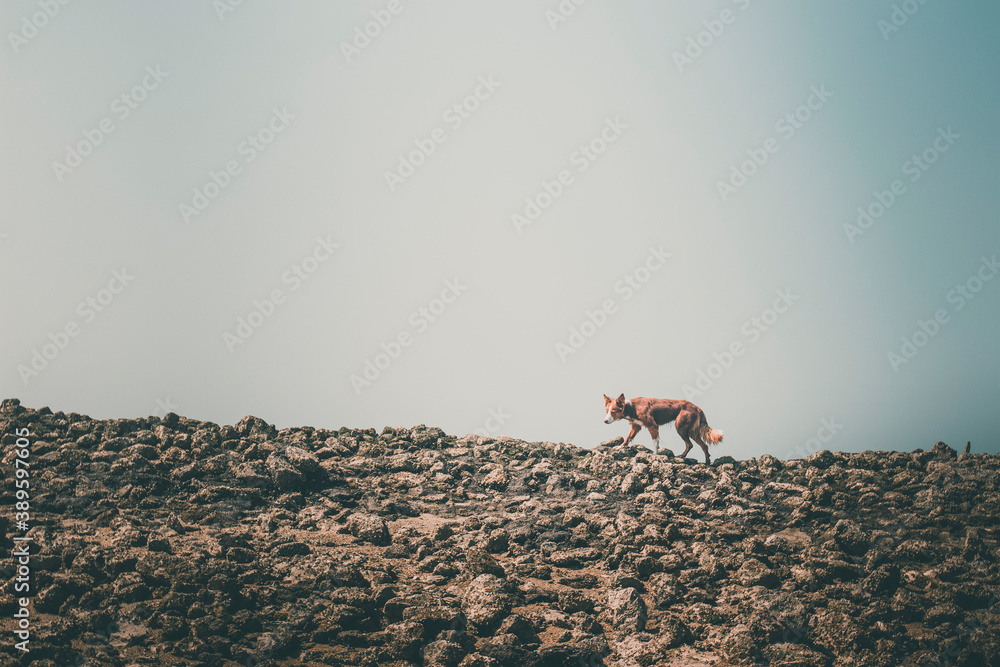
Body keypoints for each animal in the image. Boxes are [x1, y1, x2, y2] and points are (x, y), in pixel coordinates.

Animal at [596, 394, 724, 462]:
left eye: (613, 411)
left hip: (681, 427)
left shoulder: (653, 426)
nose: (605, 421)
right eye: (607, 411)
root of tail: (697, 408)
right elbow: (628, 438)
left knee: (691, 444)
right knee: (702, 445)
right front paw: (620, 447)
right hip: (692, 431)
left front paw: (655, 455)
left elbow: (655, 443)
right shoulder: (636, 426)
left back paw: (686, 457)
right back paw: (706, 461)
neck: (632, 408)